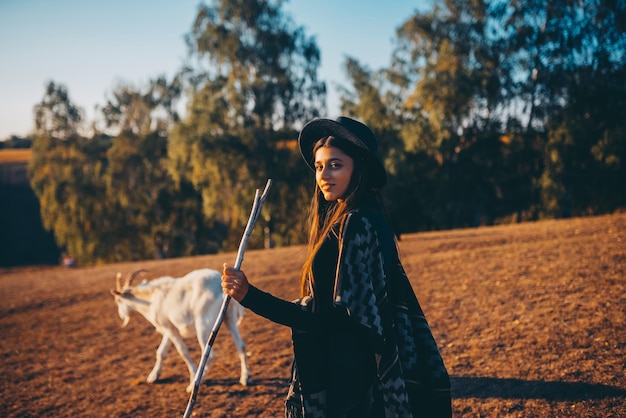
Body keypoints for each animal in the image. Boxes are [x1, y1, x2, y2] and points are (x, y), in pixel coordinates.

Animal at [111, 268, 250, 392]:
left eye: (118, 301)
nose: (121, 316)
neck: (152, 299)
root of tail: (220, 287)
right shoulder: (169, 328)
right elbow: (161, 352)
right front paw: (153, 377)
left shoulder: (170, 329)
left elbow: (182, 351)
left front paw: (193, 375)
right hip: (229, 319)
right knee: (241, 346)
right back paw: (245, 378)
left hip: (203, 326)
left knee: (209, 355)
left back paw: (194, 385)